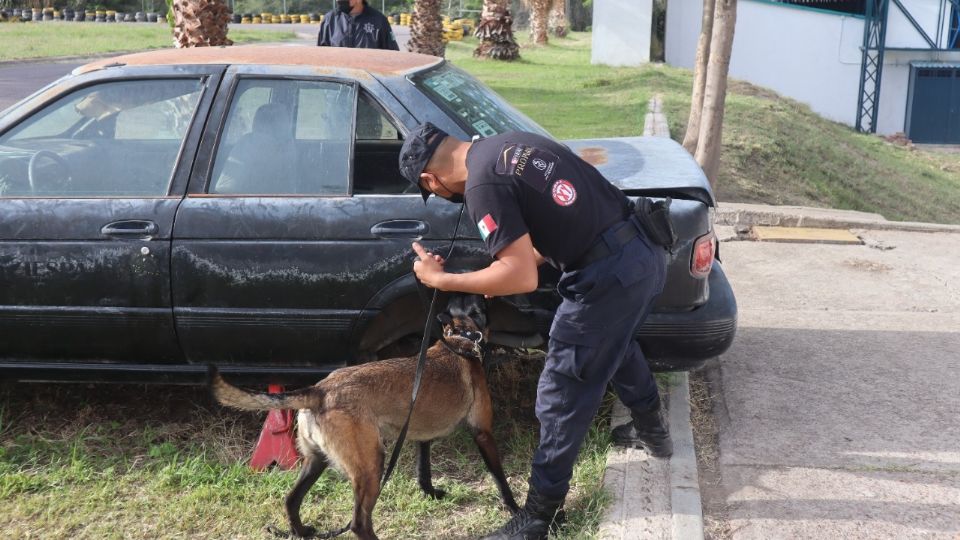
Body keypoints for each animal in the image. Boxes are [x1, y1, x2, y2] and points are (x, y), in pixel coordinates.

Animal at [210, 296, 516, 540]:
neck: (459, 340)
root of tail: (320, 391)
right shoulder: (482, 432)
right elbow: (500, 477)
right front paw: (514, 508)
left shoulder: (421, 435)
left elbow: (423, 469)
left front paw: (429, 492)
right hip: (371, 466)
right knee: (358, 523)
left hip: (316, 460)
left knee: (291, 500)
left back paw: (302, 532)